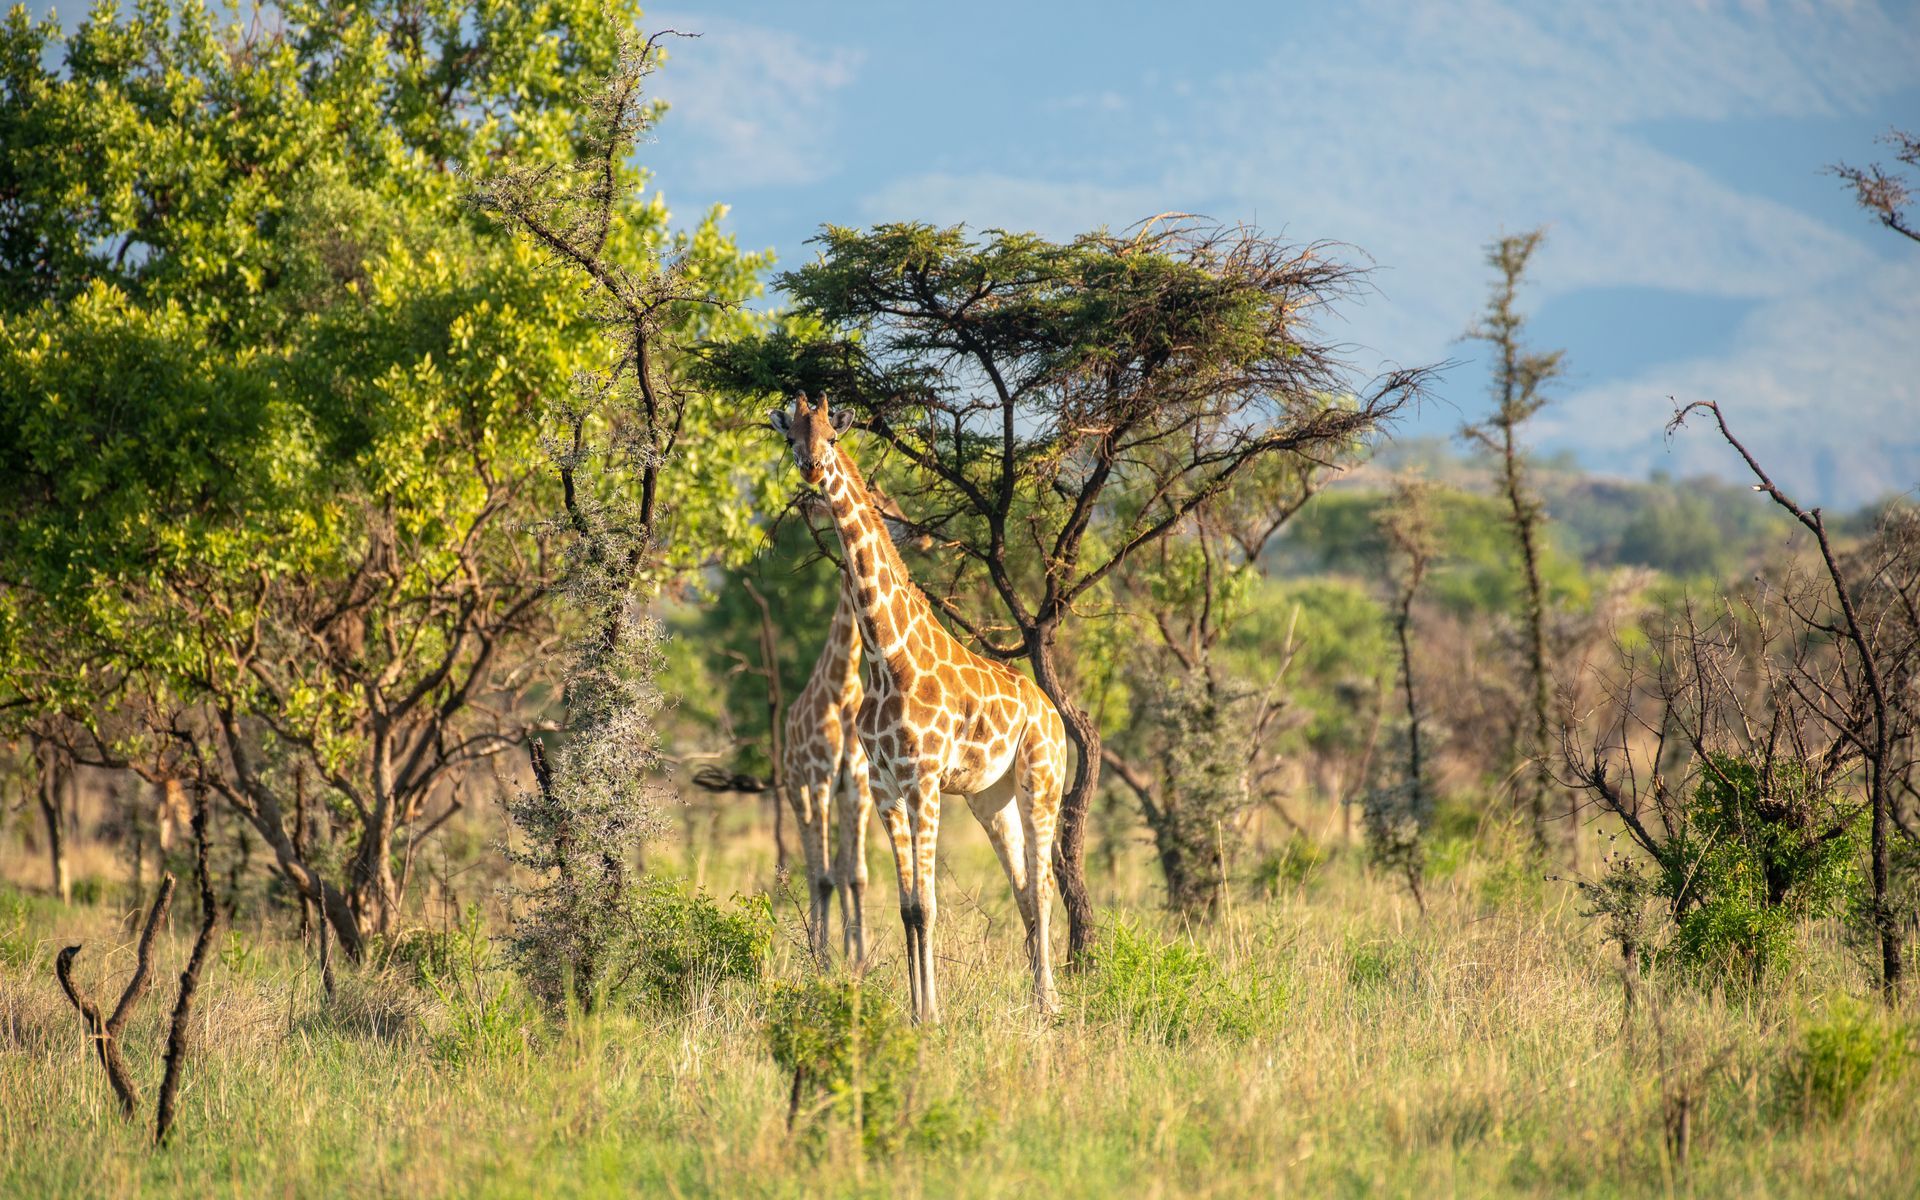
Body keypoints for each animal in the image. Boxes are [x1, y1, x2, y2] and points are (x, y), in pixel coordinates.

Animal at [769, 393, 1068, 1021]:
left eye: (832, 435)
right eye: (792, 436)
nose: (811, 467)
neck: (886, 656)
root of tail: (1053, 713)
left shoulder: (923, 779)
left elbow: (927, 905)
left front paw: (933, 1015)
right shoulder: (884, 783)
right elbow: (908, 907)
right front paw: (916, 1012)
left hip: (1041, 780)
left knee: (1045, 885)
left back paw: (1050, 1001)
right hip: (989, 796)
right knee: (1023, 887)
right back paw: (1036, 995)